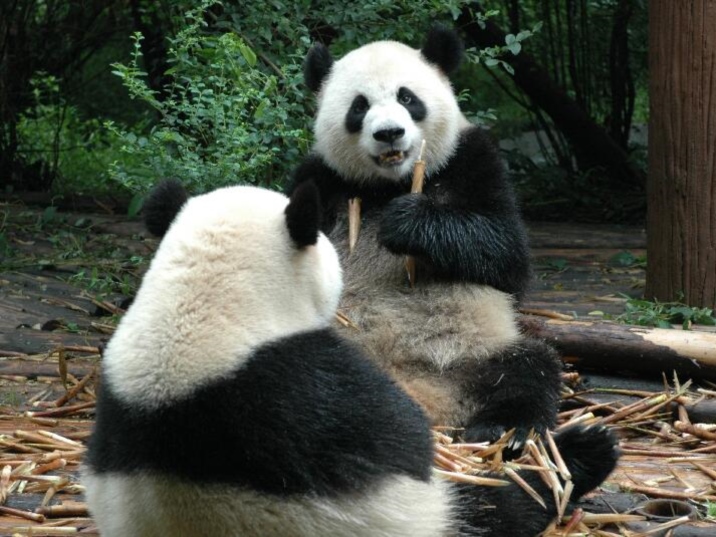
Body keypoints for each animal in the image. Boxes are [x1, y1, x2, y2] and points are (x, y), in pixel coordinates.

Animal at [83, 179, 618, 537]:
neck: (197, 306)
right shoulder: (323, 391)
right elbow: (403, 438)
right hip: (417, 516)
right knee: (501, 504)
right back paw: (584, 453)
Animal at [293, 26, 562, 448]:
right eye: (359, 106)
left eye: (407, 98)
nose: (389, 133)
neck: (389, 185)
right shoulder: (318, 179)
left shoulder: (471, 158)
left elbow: (507, 256)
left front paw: (407, 223)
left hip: (479, 351)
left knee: (530, 367)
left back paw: (502, 430)